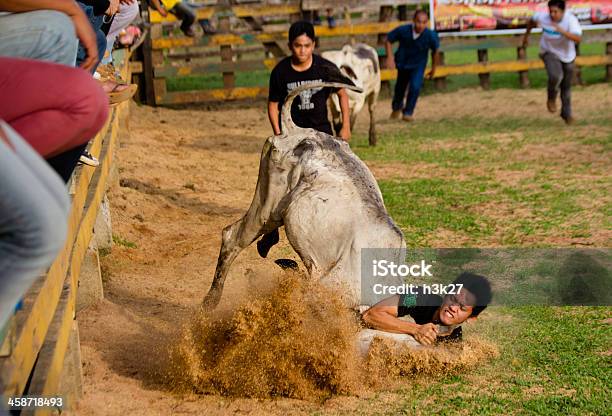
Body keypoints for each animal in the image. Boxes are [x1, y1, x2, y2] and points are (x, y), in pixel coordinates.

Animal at [203, 79, 406, 310]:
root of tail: (294, 131)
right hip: (266, 206)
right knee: (232, 236)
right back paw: (210, 301)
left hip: (274, 209)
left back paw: (264, 245)